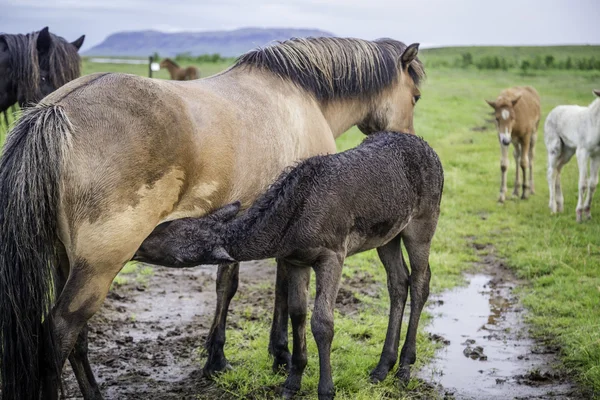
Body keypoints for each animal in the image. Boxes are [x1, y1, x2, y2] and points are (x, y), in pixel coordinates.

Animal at [136, 133, 446, 398]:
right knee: (398, 282)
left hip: (424, 220)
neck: (291, 227)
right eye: (167, 224)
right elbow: (297, 313)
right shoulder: (296, 259)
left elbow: (323, 322)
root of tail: (433, 153)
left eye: (170, 242)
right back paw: (382, 367)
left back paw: (404, 368)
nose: (138, 243)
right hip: (388, 235)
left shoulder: (333, 254)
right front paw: (292, 382)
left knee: (421, 281)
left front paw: (326, 390)